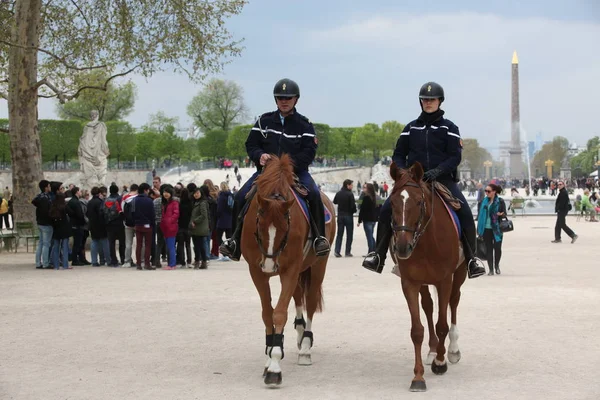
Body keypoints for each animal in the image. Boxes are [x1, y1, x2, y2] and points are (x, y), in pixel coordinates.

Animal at [244, 154, 338, 388]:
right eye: (258, 223)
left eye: (286, 227)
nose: (270, 265)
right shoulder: (256, 271)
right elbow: (267, 313)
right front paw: (270, 352)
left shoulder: (291, 269)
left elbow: (279, 313)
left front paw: (274, 366)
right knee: (297, 297)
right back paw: (299, 331)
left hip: (317, 266)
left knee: (310, 301)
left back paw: (305, 346)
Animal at [390, 161, 468, 392]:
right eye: (391, 203)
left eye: (418, 202)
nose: (402, 247)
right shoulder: (409, 283)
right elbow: (417, 330)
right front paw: (418, 377)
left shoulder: (445, 280)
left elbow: (442, 324)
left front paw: (440, 363)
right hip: (424, 282)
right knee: (428, 306)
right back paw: (433, 350)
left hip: (459, 274)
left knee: (453, 302)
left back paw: (451, 350)